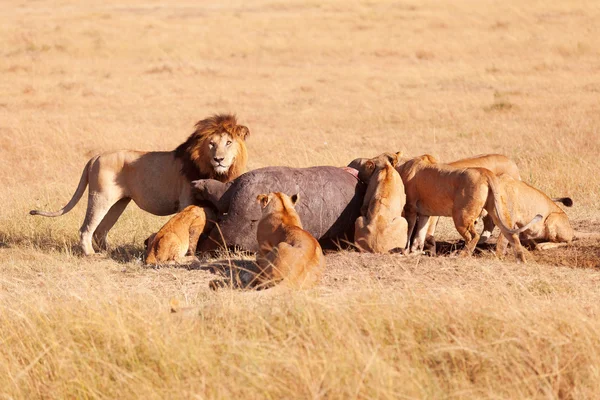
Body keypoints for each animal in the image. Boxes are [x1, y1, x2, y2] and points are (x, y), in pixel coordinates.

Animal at [29, 114, 250, 255]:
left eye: (228, 142)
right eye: (211, 144)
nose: (219, 159)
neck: (215, 172)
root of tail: (96, 156)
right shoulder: (186, 200)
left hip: (119, 202)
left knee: (101, 230)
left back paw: (111, 252)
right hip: (100, 197)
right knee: (86, 229)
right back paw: (90, 254)